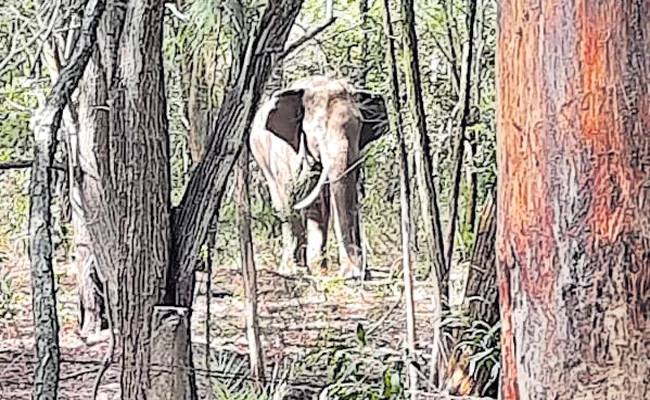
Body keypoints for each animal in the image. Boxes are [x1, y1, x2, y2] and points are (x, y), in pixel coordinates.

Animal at [251, 75, 388, 278]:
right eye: (317, 129)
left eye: (359, 125)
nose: (356, 273)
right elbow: (297, 198)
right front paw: (302, 270)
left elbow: (332, 200)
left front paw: (351, 273)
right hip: (263, 157)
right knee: (282, 202)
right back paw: (294, 268)